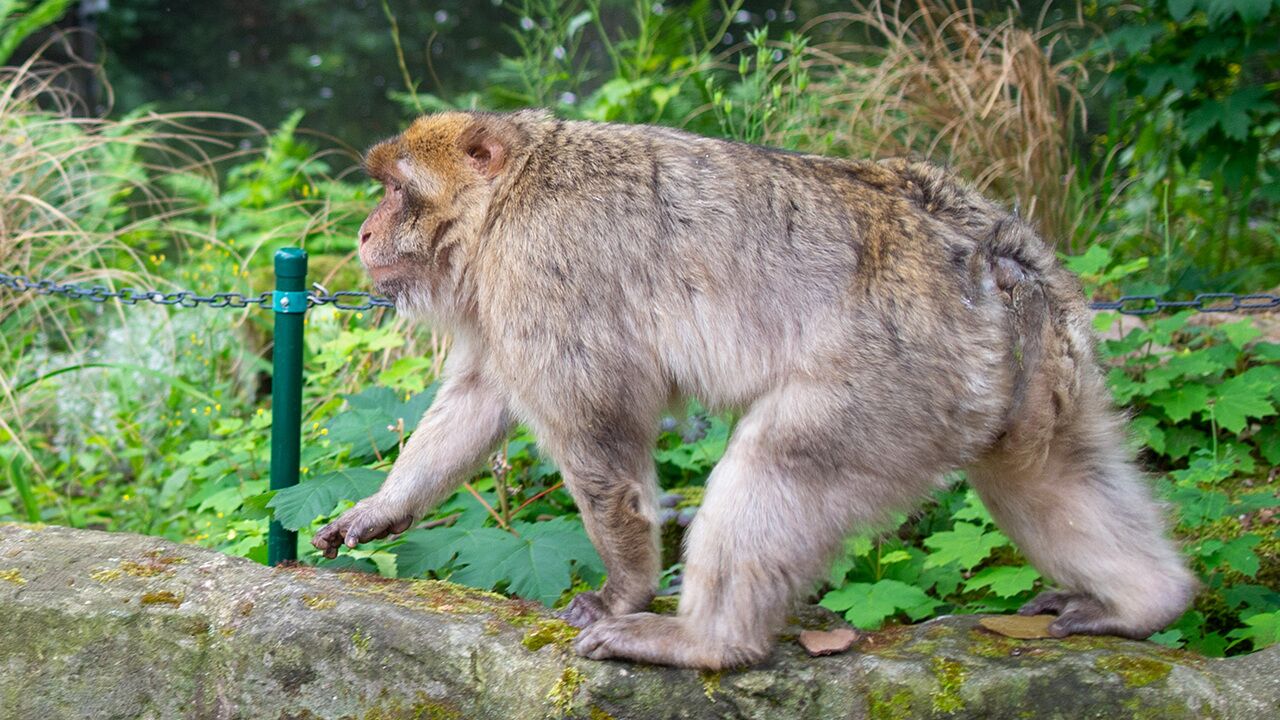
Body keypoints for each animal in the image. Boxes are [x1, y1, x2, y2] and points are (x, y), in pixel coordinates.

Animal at [314, 107, 1192, 666]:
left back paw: (707, 644)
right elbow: (480, 399)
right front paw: (381, 507)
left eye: (396, 188)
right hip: (1031, 379)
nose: (362, 230)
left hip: (899, 376)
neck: (510, 197)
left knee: (783, 462)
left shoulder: (544, 265)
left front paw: (626, 590)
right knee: (1044, 474)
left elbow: (599, 434)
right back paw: (1145, 603)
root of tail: (993, 250)